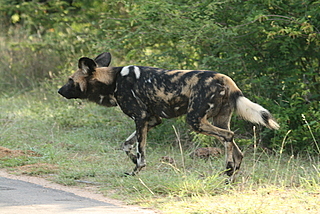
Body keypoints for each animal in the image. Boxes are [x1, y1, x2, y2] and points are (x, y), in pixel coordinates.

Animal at [58, 51, 278, 181]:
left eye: (70, 80)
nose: (59, 91)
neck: (113, 80)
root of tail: (225, 79)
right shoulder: (152, 120)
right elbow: (127, 145)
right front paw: (131, 162)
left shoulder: (140, 118)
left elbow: (141, 153)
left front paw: (135, 171)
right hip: (219, 119)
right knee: (235, 147)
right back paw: (230, 176)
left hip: (195, 121)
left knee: (229, 137)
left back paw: (229, 170)